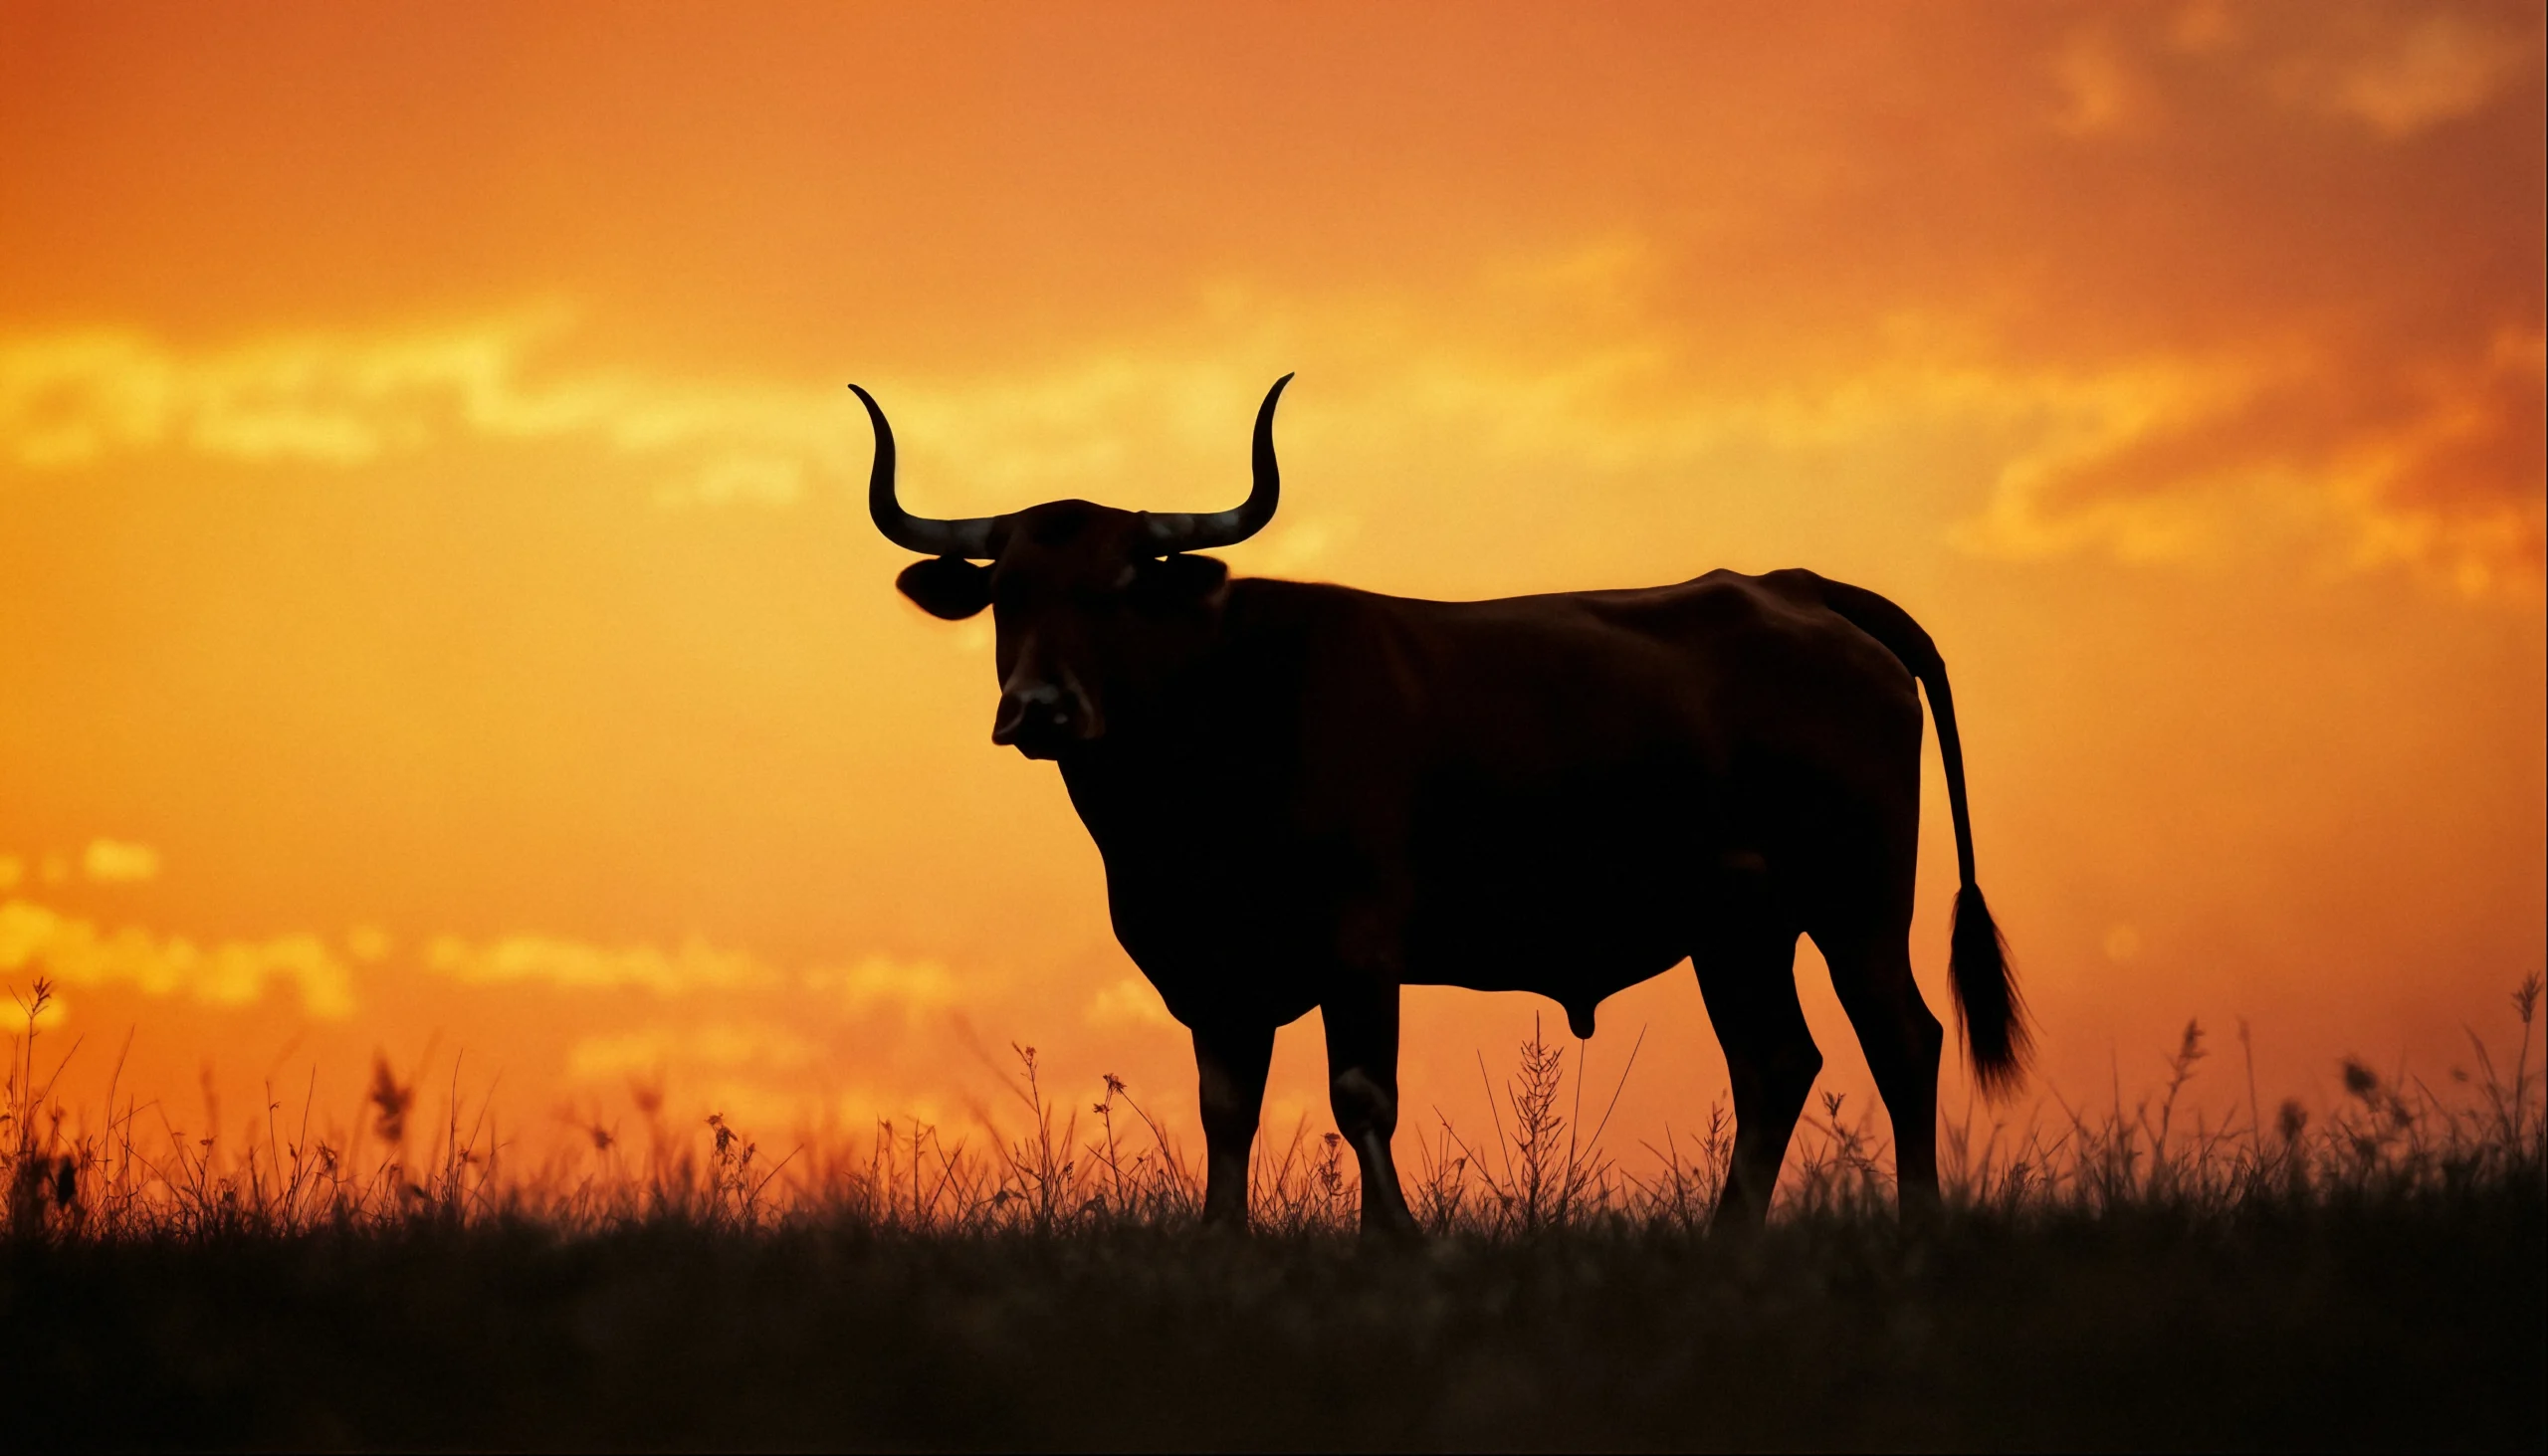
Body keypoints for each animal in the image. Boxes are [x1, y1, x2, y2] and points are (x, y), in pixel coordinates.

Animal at [854, 375, 2025, 1234]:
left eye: (1118, 589)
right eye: (1006, 592)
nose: (1040, 707)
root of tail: (1794, 586)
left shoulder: (1360, 938)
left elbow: (1360, 1092)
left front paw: (1397, 1242)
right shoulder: (1217, 973)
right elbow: (1227, 1111)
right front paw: (1222, 1244)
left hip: (1858, 899)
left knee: (1901, 1037)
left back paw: (1918, 1226)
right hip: (1737, 928)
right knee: (1776, 1060)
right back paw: (1726, 1241)